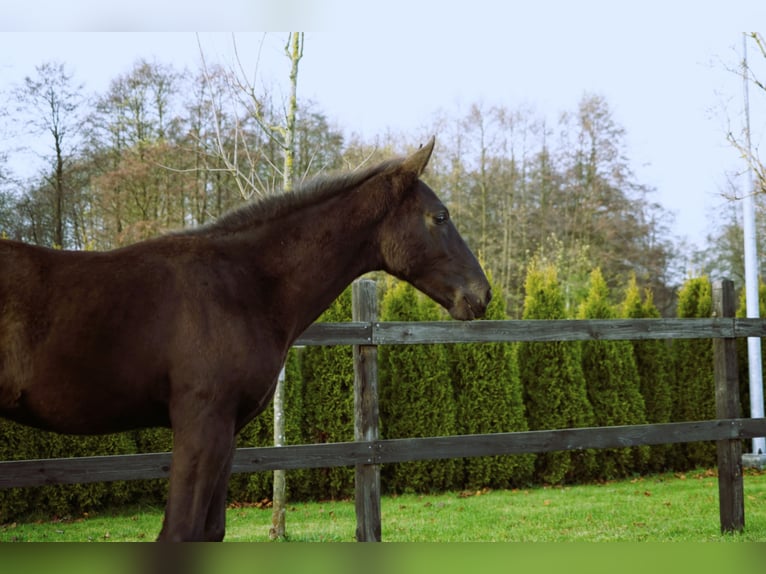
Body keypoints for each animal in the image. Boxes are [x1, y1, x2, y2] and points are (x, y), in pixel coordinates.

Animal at [0, 137, 491, 541]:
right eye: (440, 217)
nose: (481, 294)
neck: (242, 285)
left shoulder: (226, 431)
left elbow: (210, 532)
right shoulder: (201, 424)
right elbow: (180, 534)